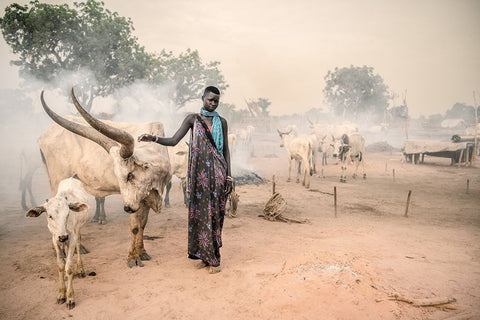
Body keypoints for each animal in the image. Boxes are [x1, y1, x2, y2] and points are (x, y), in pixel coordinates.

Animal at [25, 176, 94, 308]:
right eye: (50, 216)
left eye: (67, 214)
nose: (63, 237)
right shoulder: (54, 238)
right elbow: (61, 265)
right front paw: (61, 294)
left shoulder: (71, 237)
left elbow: (69, 267)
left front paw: (70, 297)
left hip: (78, 229)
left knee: (78, 245)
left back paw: (80, 269)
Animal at [39, 89, 172, 268]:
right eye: (118, 175)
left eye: (130, 174)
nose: (127, 208)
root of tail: (45, 134)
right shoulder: (132, 200)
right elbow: (135, 227)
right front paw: (132, 258)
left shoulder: (142, 197)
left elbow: (143, 224)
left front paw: (143, 252)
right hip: (57, 179)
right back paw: (60, 249)